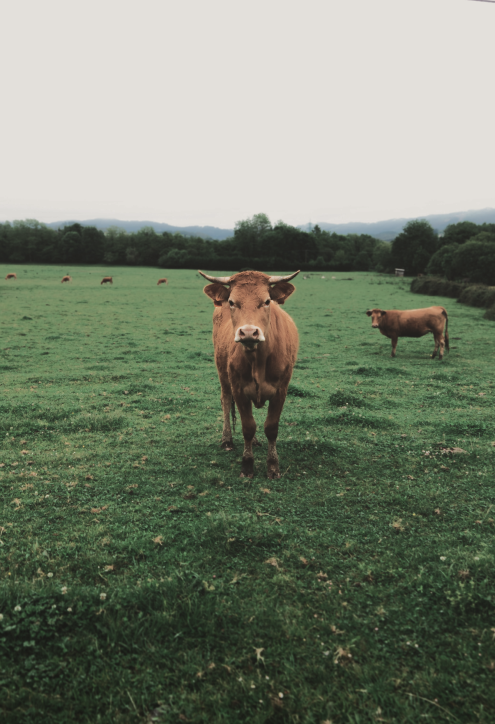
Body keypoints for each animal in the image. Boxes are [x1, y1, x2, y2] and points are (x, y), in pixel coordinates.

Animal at [200, 269, 300, 479]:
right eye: (232, 302)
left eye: (267, 301)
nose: (247, 333)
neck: (258, 361)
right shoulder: (238, 389)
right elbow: (248, 426)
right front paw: (247, 465)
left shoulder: (281, 390)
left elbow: (271, 427)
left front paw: (273, 466)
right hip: (222, 374)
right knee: (225, 401)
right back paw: (227, 440)